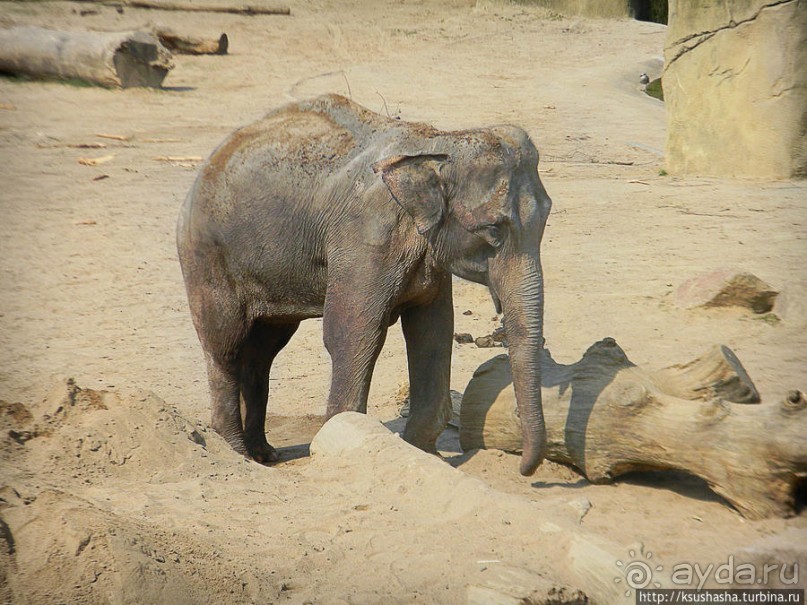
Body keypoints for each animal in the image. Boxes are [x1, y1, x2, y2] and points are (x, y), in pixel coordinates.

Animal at [177, 92, 552, 474]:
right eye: (493, 230)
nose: (524, 468)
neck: (436, 143)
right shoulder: (365, 238)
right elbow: (353, 332)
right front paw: (344, 439)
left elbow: (433, 331)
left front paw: (422, 452)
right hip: (206, 259)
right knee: (226, 346)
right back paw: (237, 451)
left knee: (263, 350)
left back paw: (264, 454)